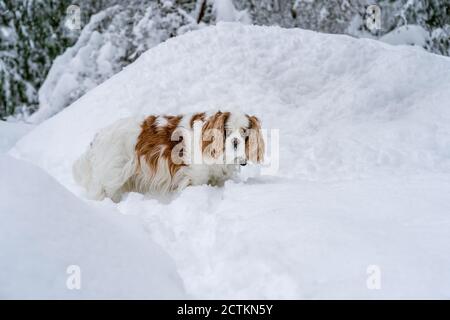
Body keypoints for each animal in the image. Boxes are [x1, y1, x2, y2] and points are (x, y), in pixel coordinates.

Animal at [72, 109, 266, 201]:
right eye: (227, 131)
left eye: (245, 132)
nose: (236, 143)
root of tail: (98, 136)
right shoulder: (194, 178)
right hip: (113, 176)